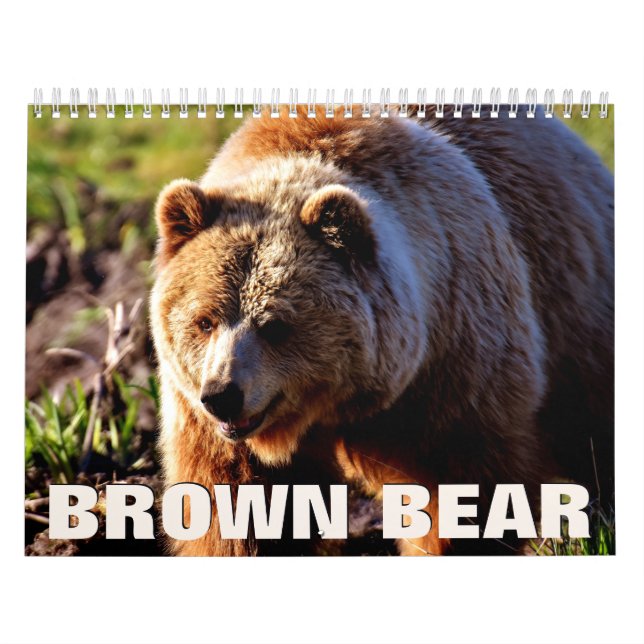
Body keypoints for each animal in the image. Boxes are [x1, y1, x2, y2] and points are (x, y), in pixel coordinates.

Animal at [150, 104, 614, 556]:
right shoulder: (203, 418)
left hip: (576, 315)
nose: (223, 396)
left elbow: (467, 486)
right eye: (204, 320)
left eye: (276, 325)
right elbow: (243, 511)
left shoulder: (452, 366)